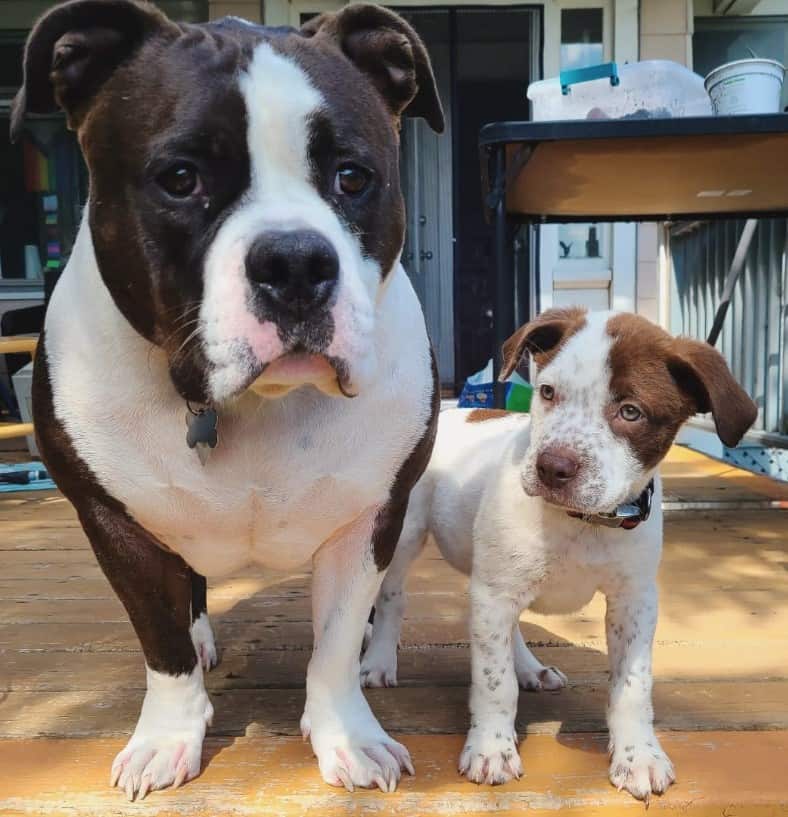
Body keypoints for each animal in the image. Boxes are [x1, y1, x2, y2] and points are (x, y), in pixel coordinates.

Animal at [12, 0, 444, 800]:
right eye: (180, 179)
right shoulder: (113, 521)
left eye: (353, 177)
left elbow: (336, 643)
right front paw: (167, 736)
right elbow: (162, 642)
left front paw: (348, 734)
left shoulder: (369, 516)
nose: (296, 261)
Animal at [362, 310, 756, 800]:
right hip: (406, 535)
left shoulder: (634, 601)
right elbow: (494, 682)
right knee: (393, 598)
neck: (584, 522)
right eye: (548, 392)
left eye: (631, 412)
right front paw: (492, 748)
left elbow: (633, 685)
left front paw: (639, 756)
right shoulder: (495, 593)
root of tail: (453, 413)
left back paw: (531, 669)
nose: (552, 467)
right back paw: (379, 661)